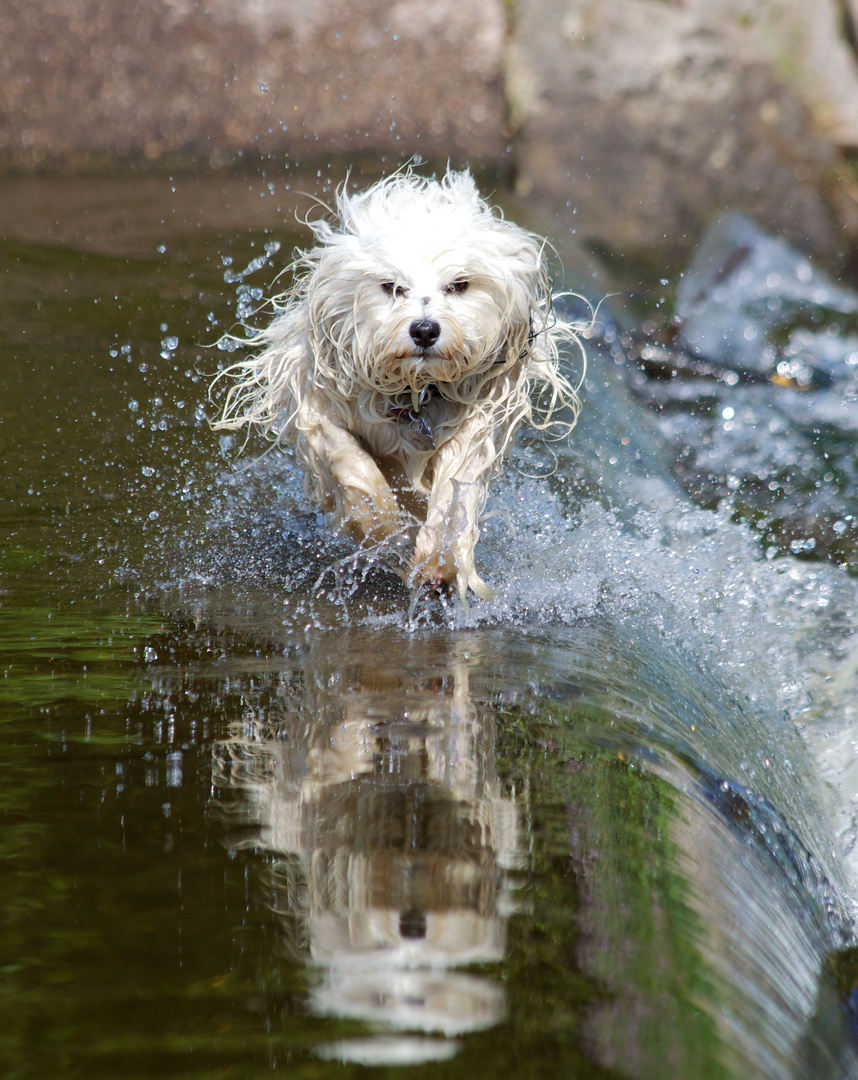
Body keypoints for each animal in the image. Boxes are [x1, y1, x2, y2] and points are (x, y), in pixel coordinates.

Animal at [209, 172, 579, 604]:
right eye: (391, 286)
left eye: (459, 285)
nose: (424, 329)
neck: (415, 391)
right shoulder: (319, 404)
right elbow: (352, 464)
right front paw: (382, 526)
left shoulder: (474, 423)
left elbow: (453, 494)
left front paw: (438, 562)